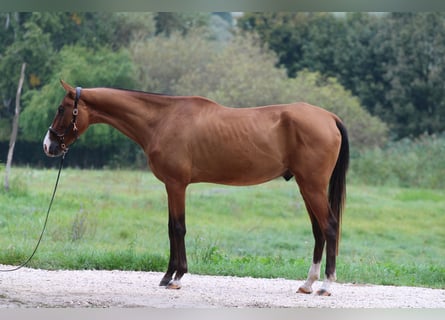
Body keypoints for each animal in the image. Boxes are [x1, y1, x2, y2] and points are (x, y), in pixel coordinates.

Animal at [43, 79, 346, 296]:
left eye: (61, 109)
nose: (48, 146)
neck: (162, 119)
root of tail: (329, 117)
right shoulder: (172, 186)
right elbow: (171, 228)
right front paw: (167, 276)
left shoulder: (176, 185)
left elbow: (178, 228)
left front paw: (176, 277)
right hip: (306, 188)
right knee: (318, 231)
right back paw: (307, 284)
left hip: (313, 186)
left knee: (330, 226)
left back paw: (325, 285)